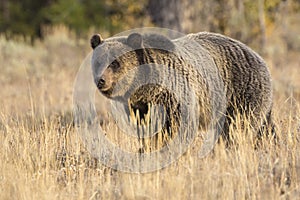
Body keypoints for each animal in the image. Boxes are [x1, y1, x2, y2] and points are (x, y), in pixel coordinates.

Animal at [89, 30, 274, 150]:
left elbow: (178, 126)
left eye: (115, 63)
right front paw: (146, 147)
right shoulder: (139, 106)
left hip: (241, 92)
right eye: (98, 61)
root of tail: (259, 57)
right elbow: (145, 128)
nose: (101, 80)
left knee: (237, 127)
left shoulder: (176, 93)